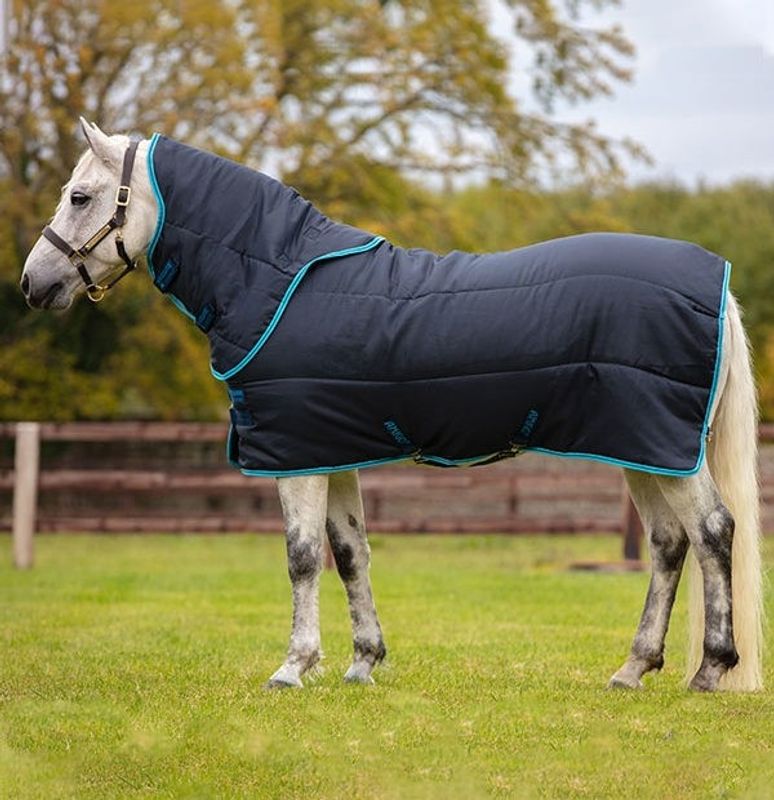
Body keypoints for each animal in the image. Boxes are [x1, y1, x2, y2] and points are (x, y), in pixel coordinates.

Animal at [21, 118, 763, 692]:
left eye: (80, 196)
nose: (33, 283)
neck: (276, 279)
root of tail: (718, 282)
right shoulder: (329, 450)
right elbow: (351, 553)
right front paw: (362, 664)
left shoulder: (295, 456)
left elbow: (301, 556)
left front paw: (293, 667)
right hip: (643, 448)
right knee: (669, 544)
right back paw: (633, 670)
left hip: (662, 447)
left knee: (712, 531)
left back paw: (710, 669)